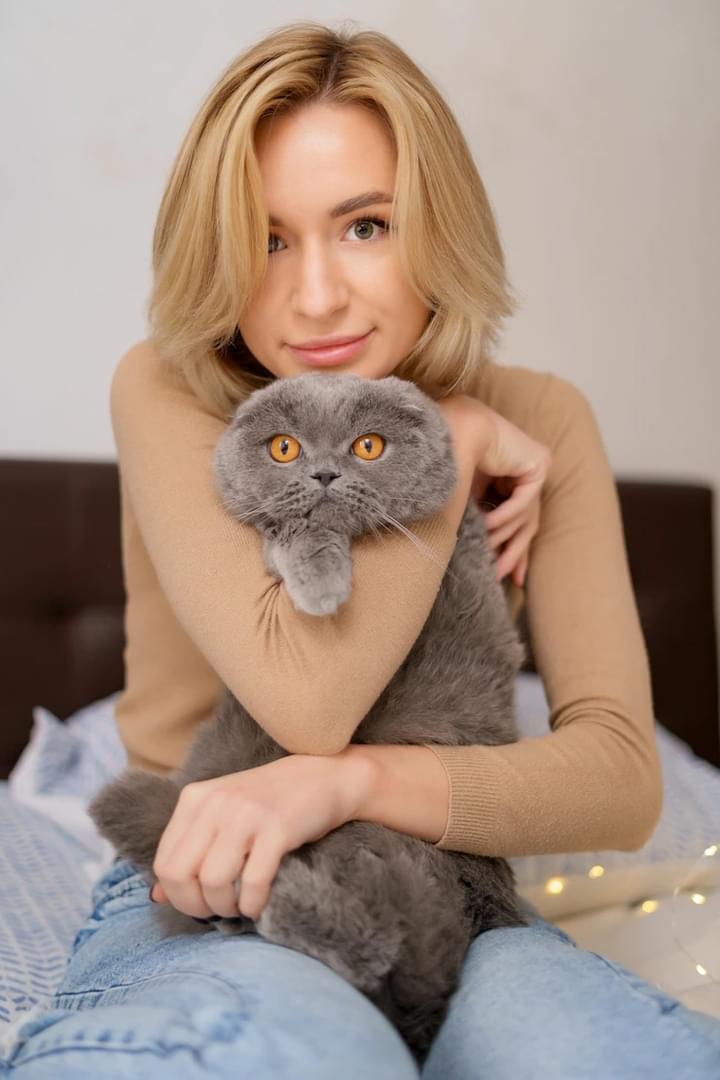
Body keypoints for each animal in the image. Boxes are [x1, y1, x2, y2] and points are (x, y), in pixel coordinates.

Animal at [89, 370, 530, 1064]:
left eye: (369, 446)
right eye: (285, 449)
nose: (323, 473)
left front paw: (322, 584)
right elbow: (286, 529)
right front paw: (321, 579)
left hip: (387, 845)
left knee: (385, 942)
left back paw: (283, 901)